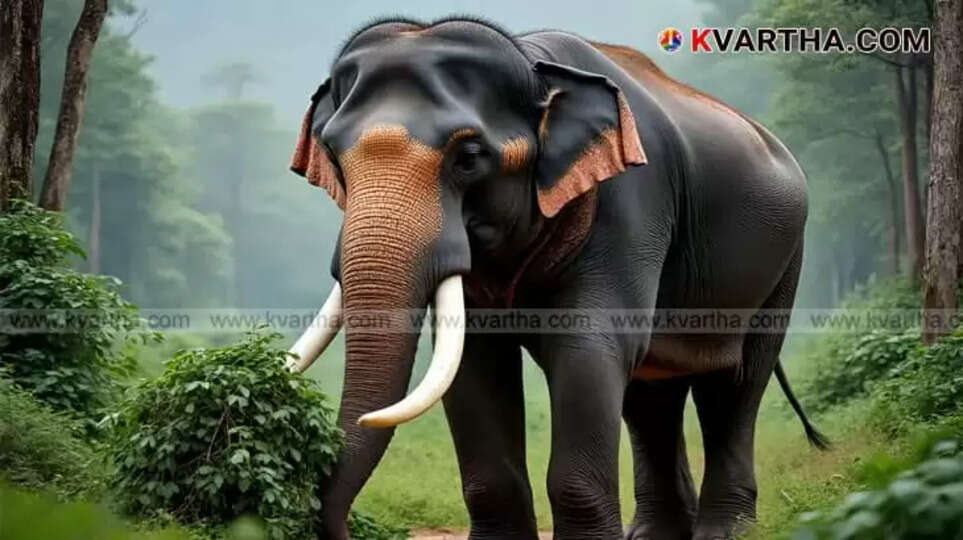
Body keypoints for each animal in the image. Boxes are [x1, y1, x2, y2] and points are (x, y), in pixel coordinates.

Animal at [285, 17, 828, 540]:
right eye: (334, 155)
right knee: (650, 395)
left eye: (469, 158)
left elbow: (589, 347)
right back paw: (654, 533)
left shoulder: (632, 205)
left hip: (786, 258)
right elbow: (474, 361)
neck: (534, 66)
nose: (342, 527)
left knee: (733, 384)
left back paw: (724, 531)